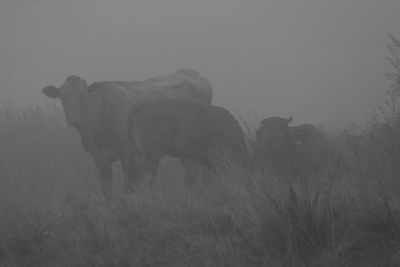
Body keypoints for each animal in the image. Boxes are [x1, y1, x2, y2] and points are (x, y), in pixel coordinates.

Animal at [41, 69, 212, 199]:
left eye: (84, 96)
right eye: (62, 97)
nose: (74, 119)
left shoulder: (127, 155)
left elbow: (128, 187)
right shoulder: (99, 158)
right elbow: (106, 190)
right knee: (192, 175)